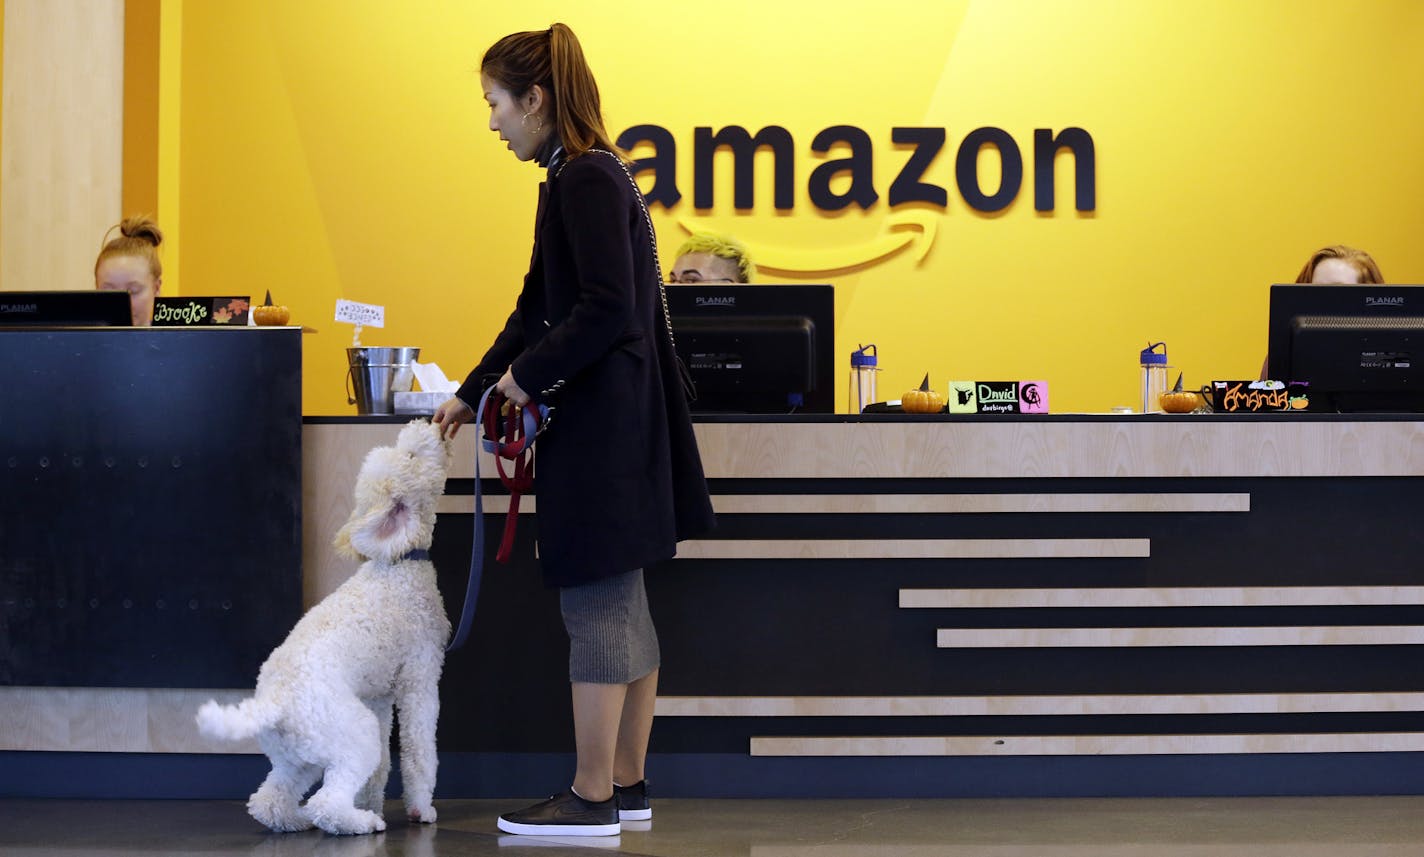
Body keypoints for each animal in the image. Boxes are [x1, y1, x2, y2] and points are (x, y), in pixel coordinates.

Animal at [196, 421, 449, 831]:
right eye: (411, 456)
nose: (426, 424)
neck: (397, 565)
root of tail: (273, 702)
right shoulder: (419, 677)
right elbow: (419, 752)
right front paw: (420, 810)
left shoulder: (378, 696)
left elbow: (382, 766)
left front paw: (373, 801)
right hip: (352, 733)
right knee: (326, 801)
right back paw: (361, 823)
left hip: (300, 754)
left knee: (269, 800)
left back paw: (300, 820)